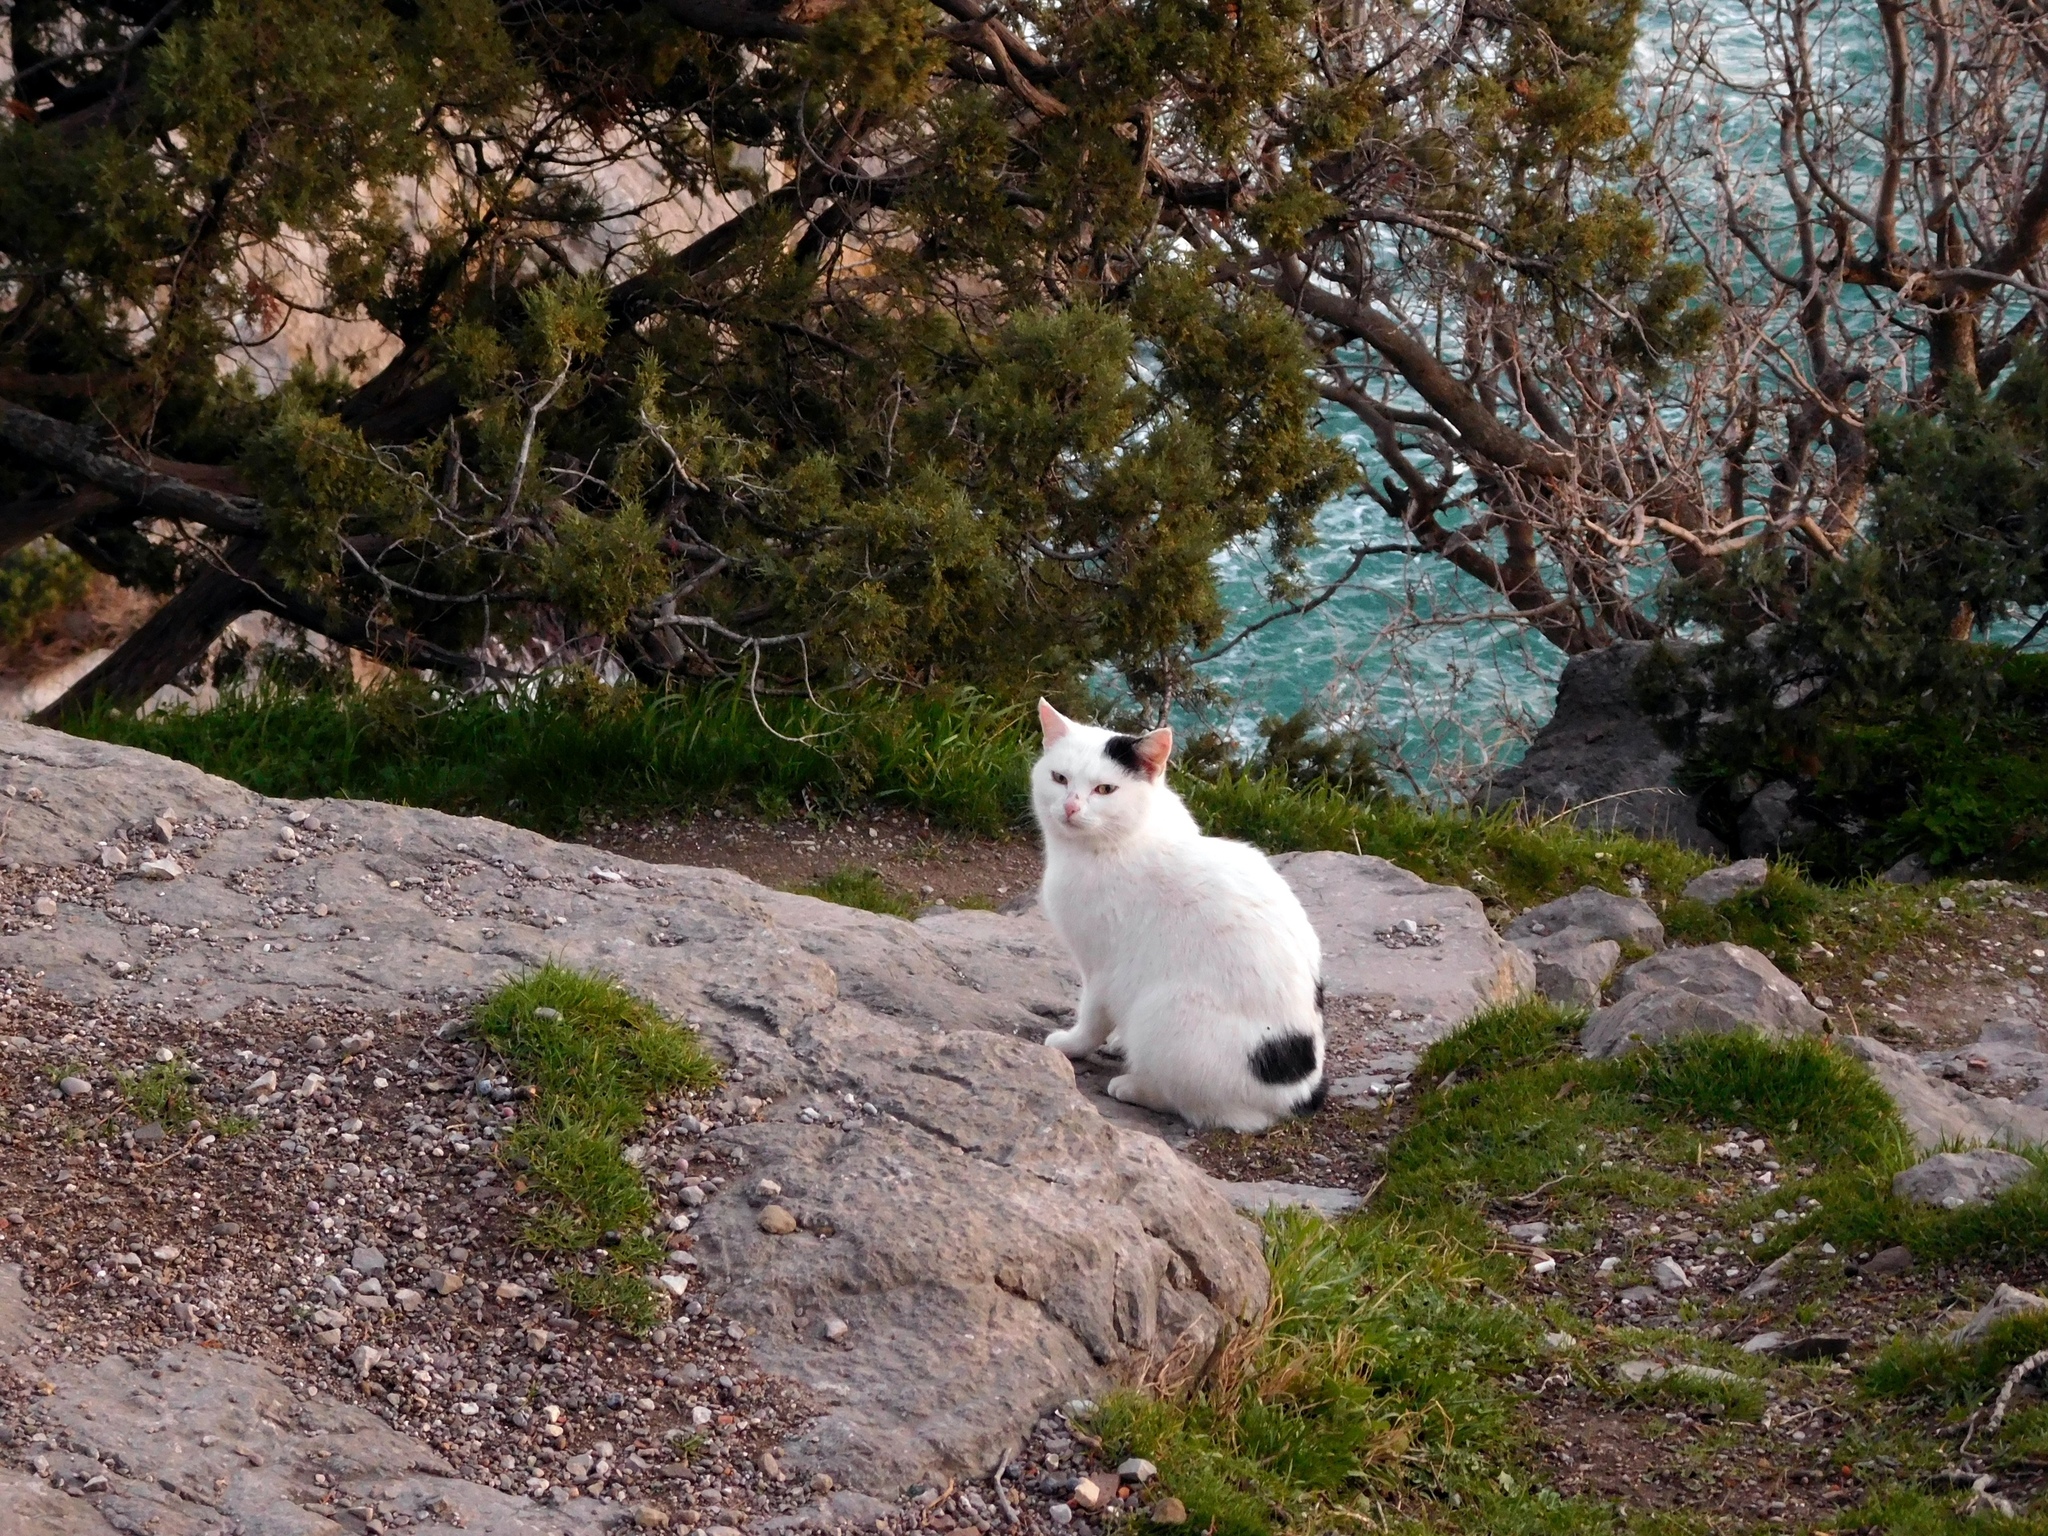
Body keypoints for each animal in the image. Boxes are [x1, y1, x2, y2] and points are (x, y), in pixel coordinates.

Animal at [1024, 704, 1327, 1138]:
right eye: (1059, 778)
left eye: (1105, 790)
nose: (1070, 807)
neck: (1127, 838)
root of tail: (1296, 1093)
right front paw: (1118, 1042)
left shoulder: (1103, 969)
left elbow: (1092, 1018)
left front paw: (1074, 1044)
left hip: (1167, 1011)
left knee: (1207, 1110)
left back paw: (1134, 1086)